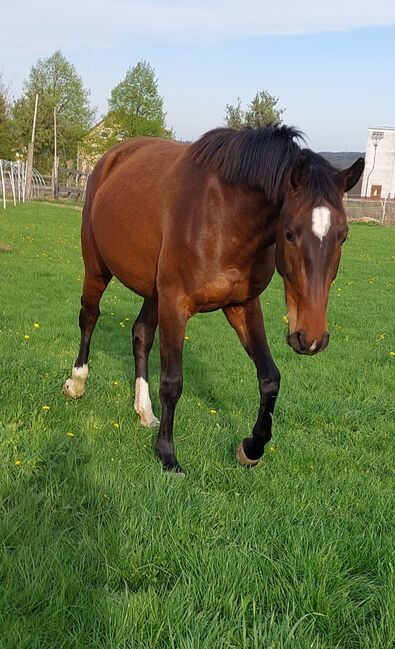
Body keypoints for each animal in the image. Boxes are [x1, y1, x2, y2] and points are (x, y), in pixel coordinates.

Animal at [62, 125, 366, 470]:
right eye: (289, 233)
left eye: (343, 236)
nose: (311, 338)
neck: (224, 218)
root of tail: (111, 157)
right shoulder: (176, 303)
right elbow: (172, 381)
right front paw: (168, 454)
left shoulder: (242, 306)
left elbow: (269, 377)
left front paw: (252, 447)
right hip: (97, 267)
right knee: (89, 316)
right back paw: (77, 383)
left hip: (154, 292)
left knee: (141, 335)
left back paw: (145, 411)